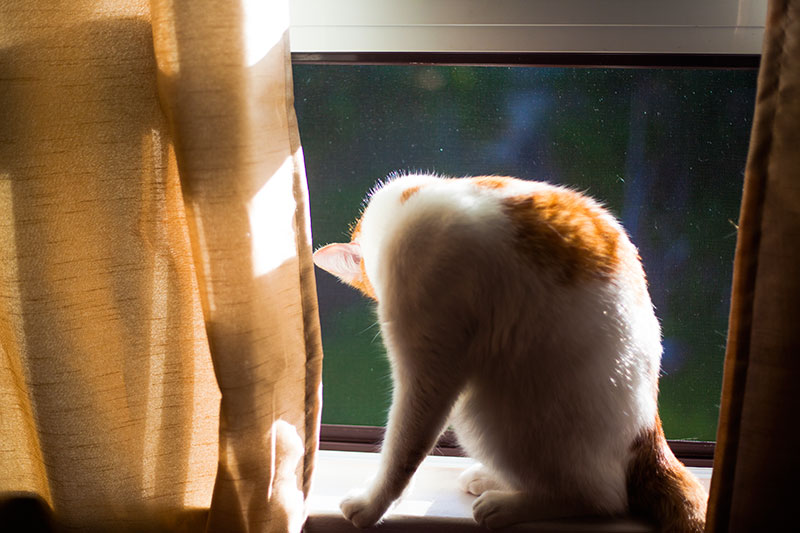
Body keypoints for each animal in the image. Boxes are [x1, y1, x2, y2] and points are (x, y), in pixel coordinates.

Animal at [312, 174, 708, 528]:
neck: (404, 208)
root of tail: (649, 432)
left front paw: (372, 505)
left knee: (603, 498)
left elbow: (402, 448)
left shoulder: (430, 366)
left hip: (483, 413)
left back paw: (505, 506)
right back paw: (488, 480)